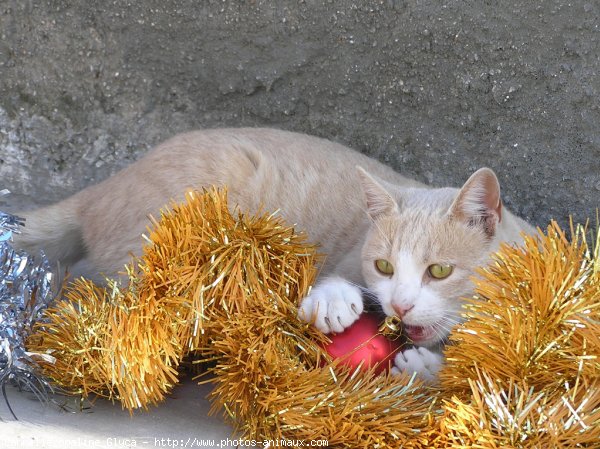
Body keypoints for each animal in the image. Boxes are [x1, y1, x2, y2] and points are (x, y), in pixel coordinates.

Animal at [11, 128, 532, 380]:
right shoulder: (348, 251)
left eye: (439, 271)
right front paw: (333, 301)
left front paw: (428, 368)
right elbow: (338, 272)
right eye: (383, 266)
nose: (400, 306)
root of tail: (102, 189)